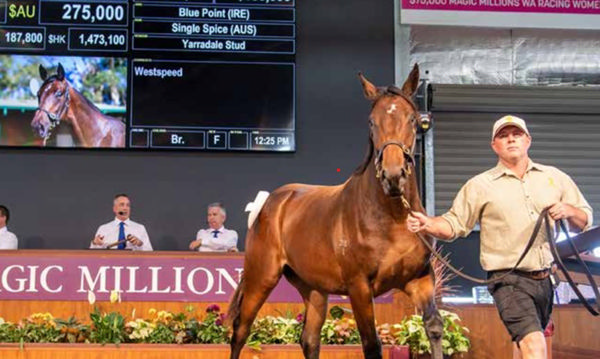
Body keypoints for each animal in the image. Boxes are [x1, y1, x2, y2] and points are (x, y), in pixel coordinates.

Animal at [227, 65, 442, 359]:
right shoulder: (359, 286)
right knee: (241, 330)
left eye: (412, 119)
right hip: (262, 276)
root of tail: (270, 201)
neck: (393, 218)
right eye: (371, 122)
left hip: (313, 288)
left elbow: (433, 328)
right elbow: (371, 343)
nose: (393, 176)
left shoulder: (419, 279)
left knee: (309, 339)